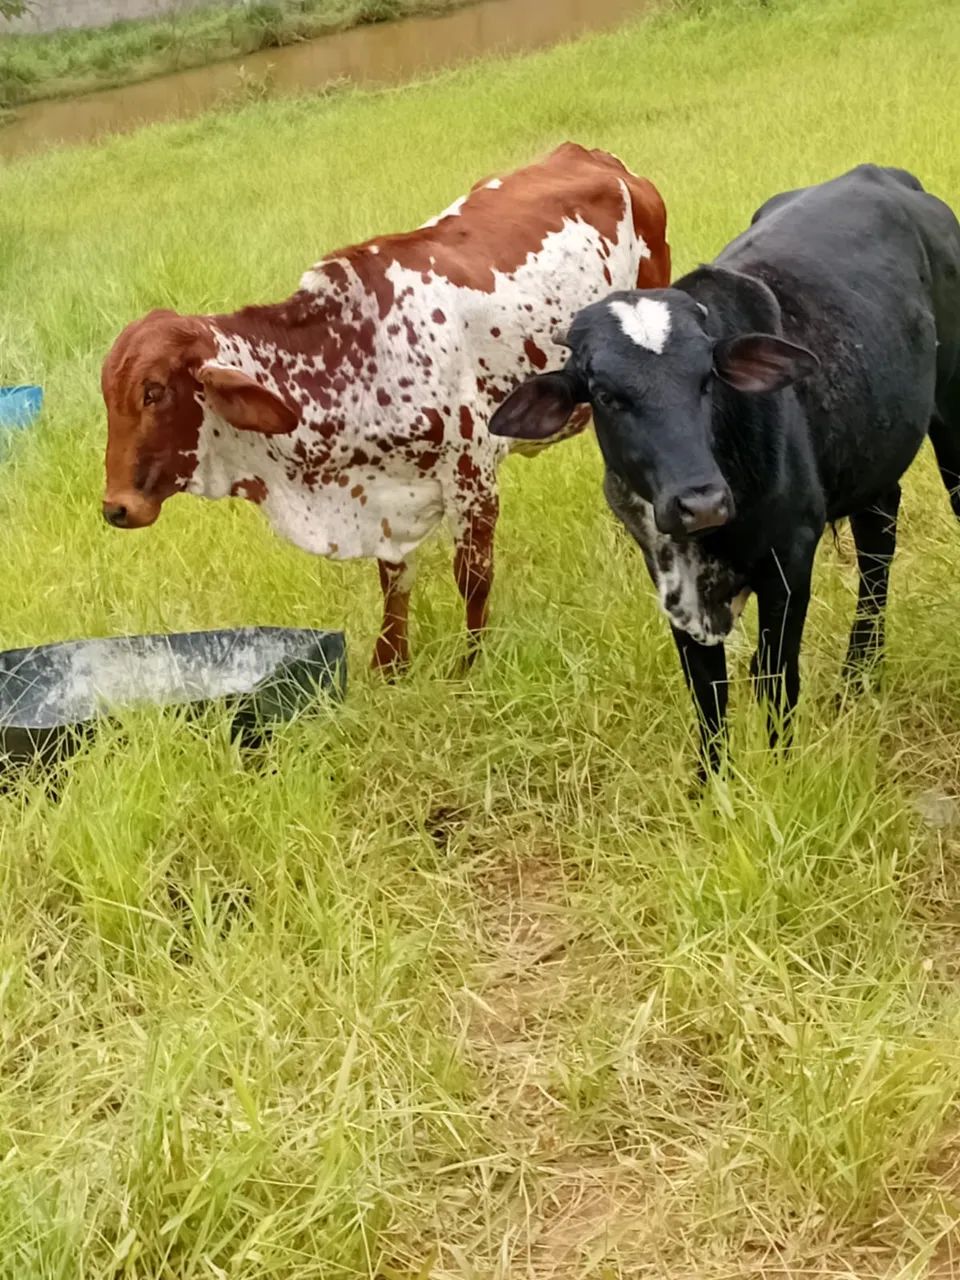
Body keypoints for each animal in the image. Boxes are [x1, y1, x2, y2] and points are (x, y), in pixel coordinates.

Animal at [100, 143, 670, 670]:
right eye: (110, 396)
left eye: (154, 391)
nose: (116, 507)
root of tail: (600, 160)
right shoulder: (387, 502)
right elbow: (394, 581)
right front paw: (391, 665)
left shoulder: (474, 475)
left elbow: (473, 578)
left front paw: (470, 663)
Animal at [488, 164, 960, 775]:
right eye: (607, 395)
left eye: (706, 378)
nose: (701, 502)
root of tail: (883, 176)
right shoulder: (670, 581)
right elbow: (707, 692)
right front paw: (712, 783)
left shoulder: (790, 559)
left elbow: (775, 677)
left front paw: (780, 771)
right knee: (877, 546)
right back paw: (858, 679)